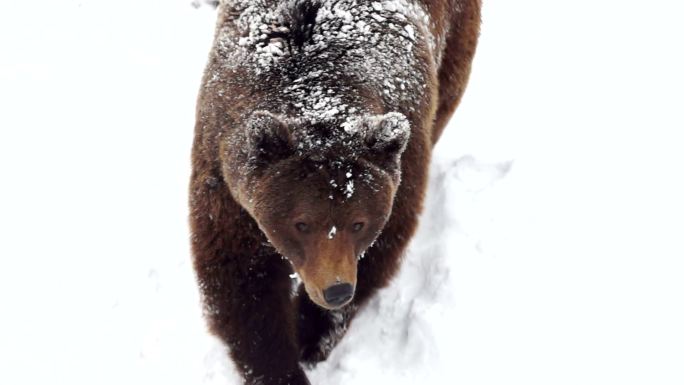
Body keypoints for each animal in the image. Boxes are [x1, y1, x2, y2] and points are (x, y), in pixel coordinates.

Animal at [188, 0, 480, 384]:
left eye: (359, 223)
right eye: (300, 223)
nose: (337, 289)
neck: (317, 90)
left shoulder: (404, 159)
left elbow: (380, 250)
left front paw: (312, 334)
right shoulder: (225, 180)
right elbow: (243, 280)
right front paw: (282, 366)